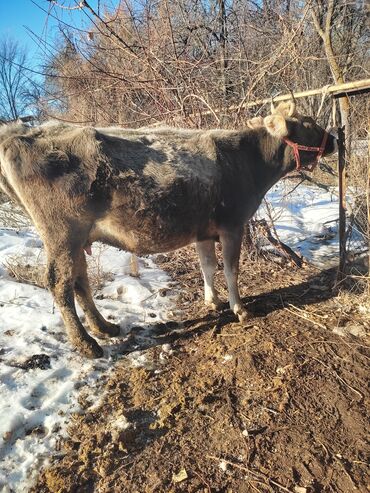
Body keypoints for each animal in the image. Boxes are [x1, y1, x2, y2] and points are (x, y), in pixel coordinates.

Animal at [0, 101, 336, 358]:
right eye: (308, 123)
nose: (335, 138)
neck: (246, 160)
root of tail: (18, 132)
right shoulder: (232, 225)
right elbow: (231, 269)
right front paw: (239, 308)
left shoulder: (203, 231)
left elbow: (207, 266)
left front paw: (212, 301)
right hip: (62, 233)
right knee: (60, 283)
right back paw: (87, 344)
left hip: (76, 237)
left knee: (79, 280)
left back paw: (104, 327)